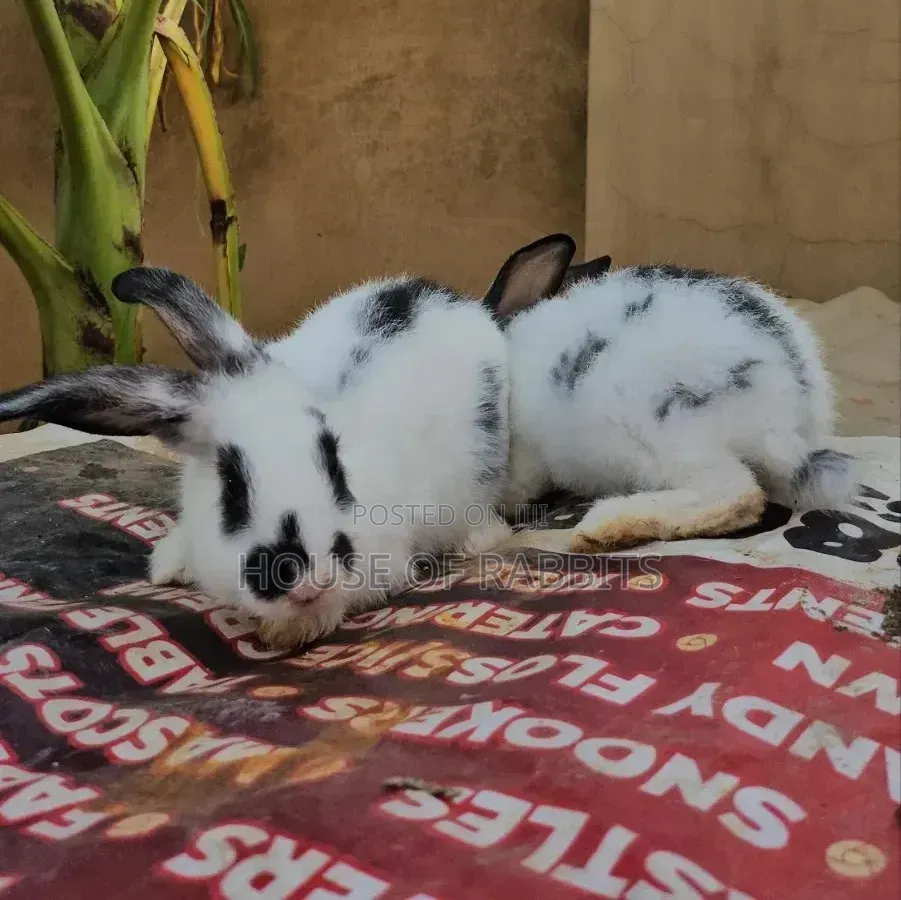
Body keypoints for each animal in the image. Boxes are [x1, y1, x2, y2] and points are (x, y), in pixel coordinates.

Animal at [0, 266, 513, 647]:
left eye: (334, 464)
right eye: (231, 485)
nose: (308, 580)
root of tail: (452, 299)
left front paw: (287, 632)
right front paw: (167, 568)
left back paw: (482, 540)